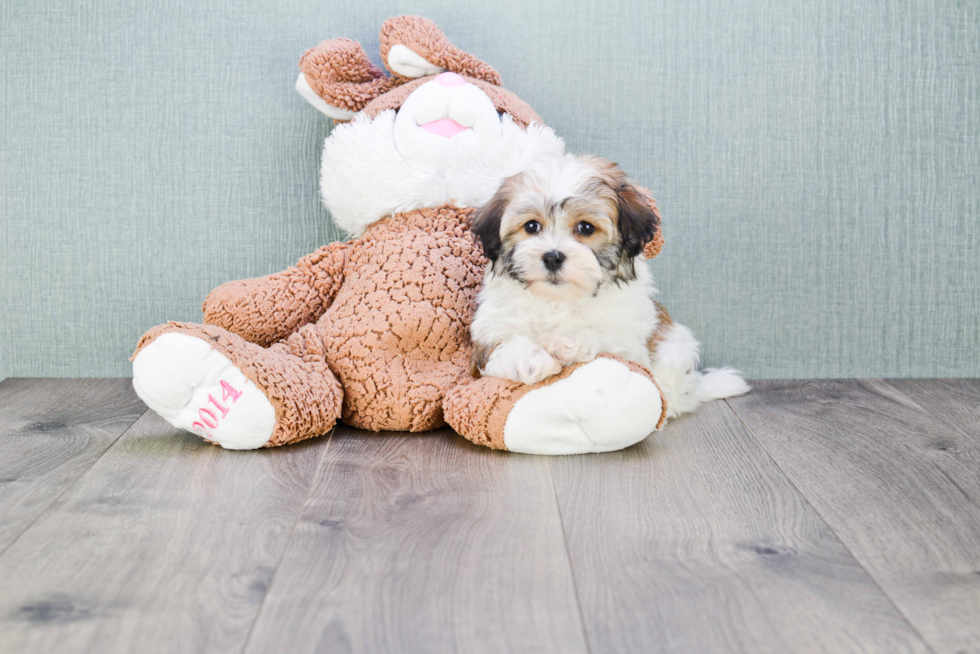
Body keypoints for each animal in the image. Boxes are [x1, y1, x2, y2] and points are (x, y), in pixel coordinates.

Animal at [468, 154, 752, 420]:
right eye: (531, 226)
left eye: (585, 227)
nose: (552, 257)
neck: (560, 300)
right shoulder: (492, 329)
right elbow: (507, 346)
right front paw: (530, 359)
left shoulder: (629, 338)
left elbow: (602, 336)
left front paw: (566, 344)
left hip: (676, 348)